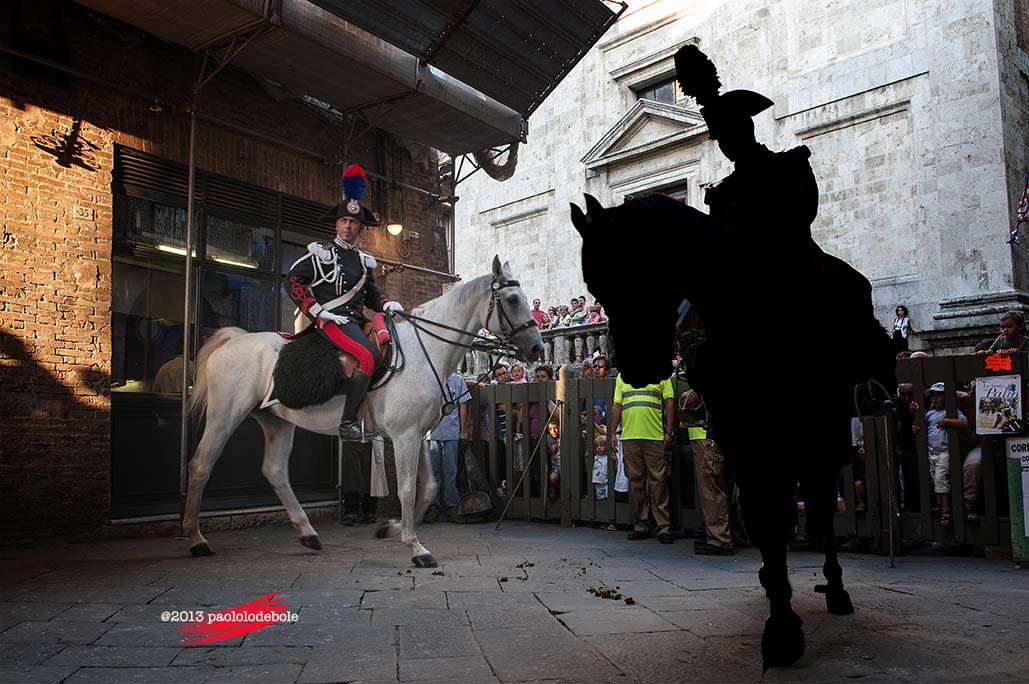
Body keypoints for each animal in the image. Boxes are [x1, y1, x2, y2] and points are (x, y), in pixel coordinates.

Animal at [185, 256, 543, 563]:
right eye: (513, 299)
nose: (537, 348)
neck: (424, 351)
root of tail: (233, 340)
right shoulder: (404, 436)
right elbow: (408, 489)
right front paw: (416, 548)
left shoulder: (417, 434)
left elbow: (427, 488)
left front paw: (391, 529)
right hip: (225, 416)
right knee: (200, 466)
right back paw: (196, 540)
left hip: (278, 422)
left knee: (275, 471)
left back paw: (308, 534)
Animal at [568, 192, 897, 666]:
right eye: (598, 287)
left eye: (638, 272)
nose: (635, 368)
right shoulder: (747, 440)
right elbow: (764, 516)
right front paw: (780, 605)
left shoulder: (794, 437)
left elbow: (783, 513)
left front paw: (784, 622)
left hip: (825, 437)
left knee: (819, 508)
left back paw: (834, 587)